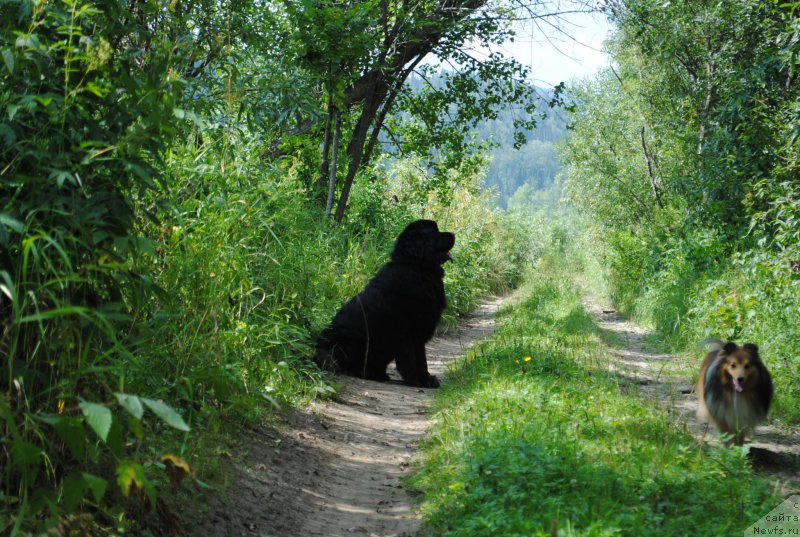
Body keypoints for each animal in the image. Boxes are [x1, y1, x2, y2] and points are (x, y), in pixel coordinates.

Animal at [314, 220, 454, 388]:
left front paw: (426, 379)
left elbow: (421, 359)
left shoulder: (419, 332)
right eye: (434, 232)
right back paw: (368, 373)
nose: (453, 234)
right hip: (350, 337)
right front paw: (416, 380)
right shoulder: (408, 332)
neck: (416, 268)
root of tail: (315, 352)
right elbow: (413, 359)